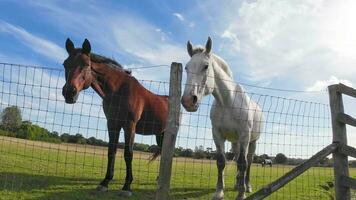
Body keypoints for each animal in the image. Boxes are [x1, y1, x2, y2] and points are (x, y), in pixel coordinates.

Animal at [62, 38, 168, 196]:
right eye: (65, 64)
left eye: (86, 64)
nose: (69, 93)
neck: (119, 90)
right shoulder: (112, 124)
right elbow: (111, 151)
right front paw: (105, 182)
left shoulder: (129, 126)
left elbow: (128, 154)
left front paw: (127, 186)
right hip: (159, 134)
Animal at [182, 36, 262, 199]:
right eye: (186, 67)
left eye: (206, 66)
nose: (188, 101)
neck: (227, 102)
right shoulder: (217, 135)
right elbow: (221, 162)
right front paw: (219, 192)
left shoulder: (244, 136)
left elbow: (243, 163)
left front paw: (241, 194)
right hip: (236, 142)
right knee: (237, 158)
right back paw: (238, 184)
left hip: (252, 141)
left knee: (248, 162)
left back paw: (247, 186)